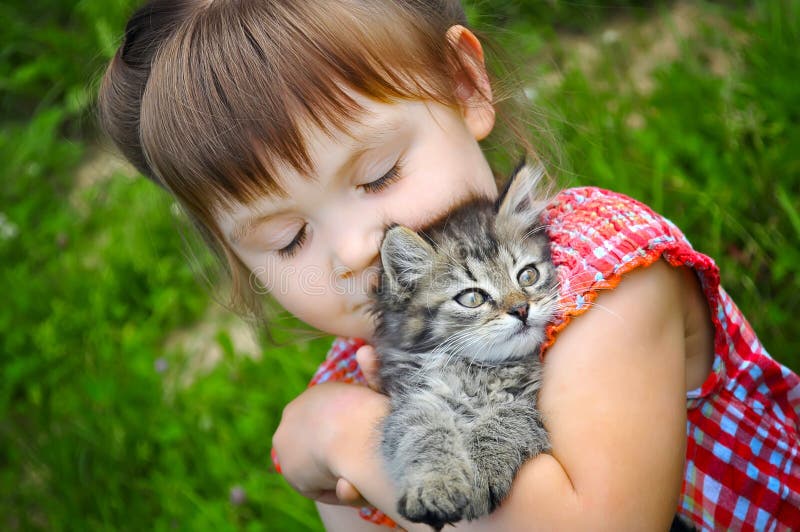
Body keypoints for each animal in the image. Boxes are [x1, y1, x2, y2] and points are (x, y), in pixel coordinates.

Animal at [370, 164, 552, 528]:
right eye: (472, 298)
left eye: (527, 276)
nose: (521, 309)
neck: (482, 370)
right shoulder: (415, 398)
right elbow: (424, 434)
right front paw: (434, 485)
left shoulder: (529, 401)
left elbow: (503, 421)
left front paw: (481, 473)